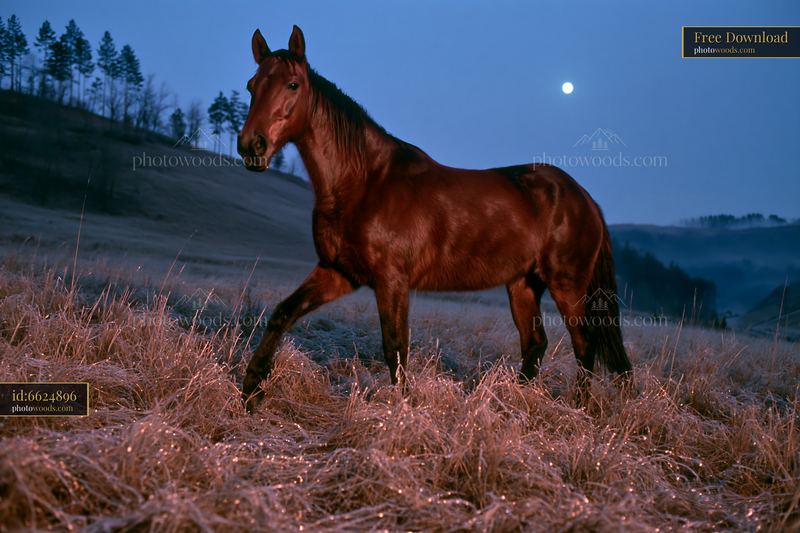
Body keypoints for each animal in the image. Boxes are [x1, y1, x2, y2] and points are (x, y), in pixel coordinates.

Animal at [237, 25, 632, 413]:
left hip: (567, 284)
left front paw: (403, 410)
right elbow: (282, 313)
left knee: (584, 345)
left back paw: (579, 410)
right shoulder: (339, 273)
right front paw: (251, 391)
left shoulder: (392, 280)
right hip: (523, 283)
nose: (251, 146)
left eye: (293, 85)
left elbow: (395, 348)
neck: (365, 181)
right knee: (535, 343)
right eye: (252, 85)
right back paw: (513, 406)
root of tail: (583, 197)